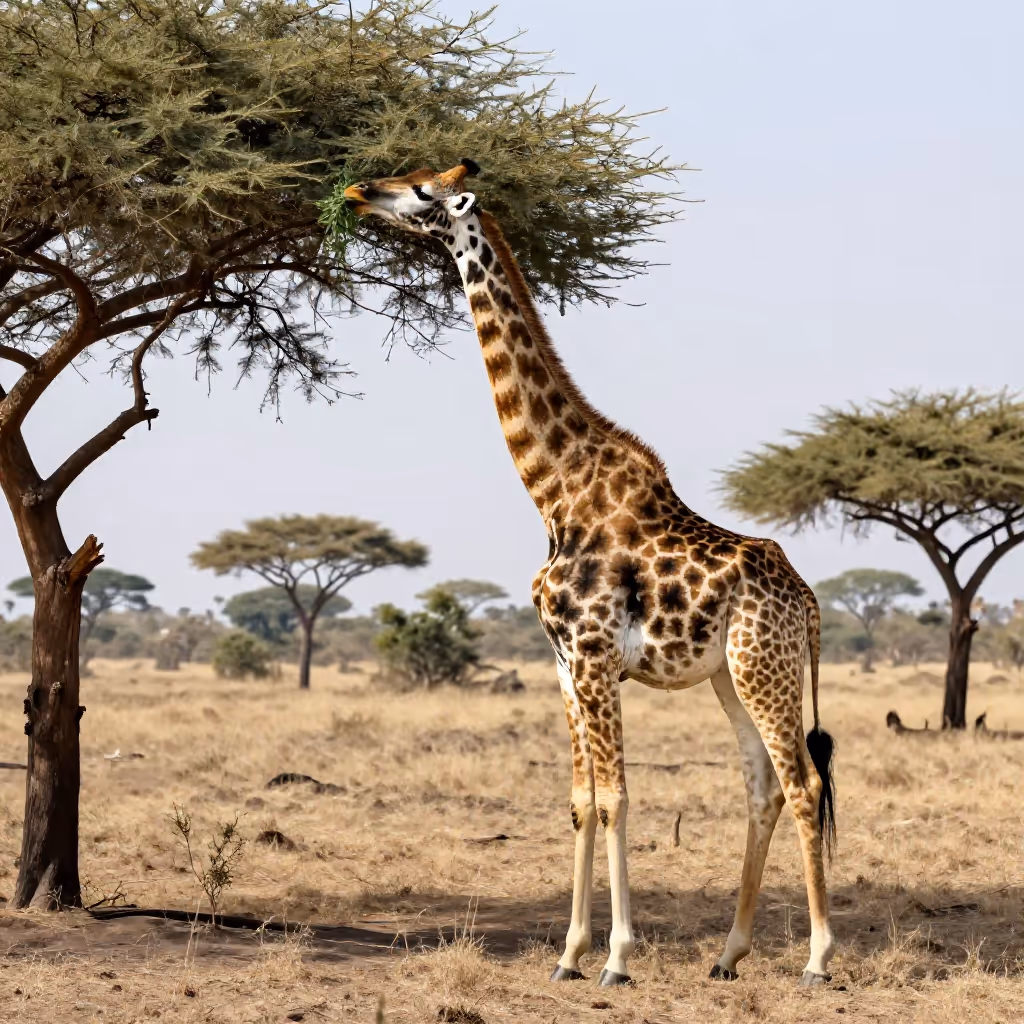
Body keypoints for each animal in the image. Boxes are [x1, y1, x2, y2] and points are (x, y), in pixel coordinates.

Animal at [343, 161, 837, 988]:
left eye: (421, 192)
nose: (355, 192)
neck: (553, 489)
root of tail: (808, 604)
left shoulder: (598, 655)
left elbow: (616, 799)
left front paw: (616, 957)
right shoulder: (563, 662)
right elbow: (579, 799)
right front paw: (569, 955)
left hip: (763, 667)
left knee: (802, 782)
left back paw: (819, 958)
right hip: (728, 675)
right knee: (761, 784)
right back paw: (729, 954)